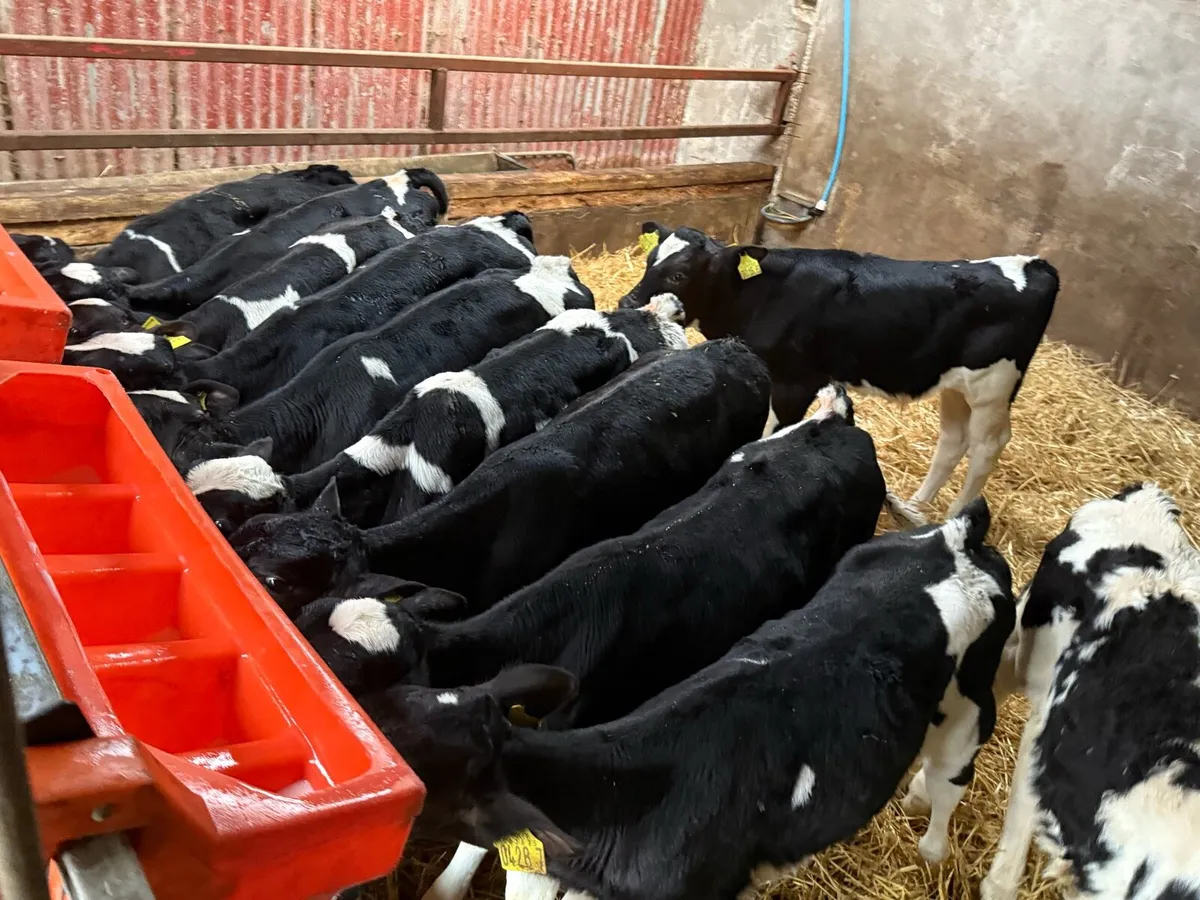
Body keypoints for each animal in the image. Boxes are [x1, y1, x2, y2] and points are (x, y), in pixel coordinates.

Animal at [619, 223, 1060, 517]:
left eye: (679, 274)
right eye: (649, 260)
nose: (627, 304)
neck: (760, 295)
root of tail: (1035, 264)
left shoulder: (795, 381)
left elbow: (771, 430)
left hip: (993, 387)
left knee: (987, 447)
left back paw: (952, 515)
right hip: (955, 385)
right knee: (954, 440)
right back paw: (914, 506)